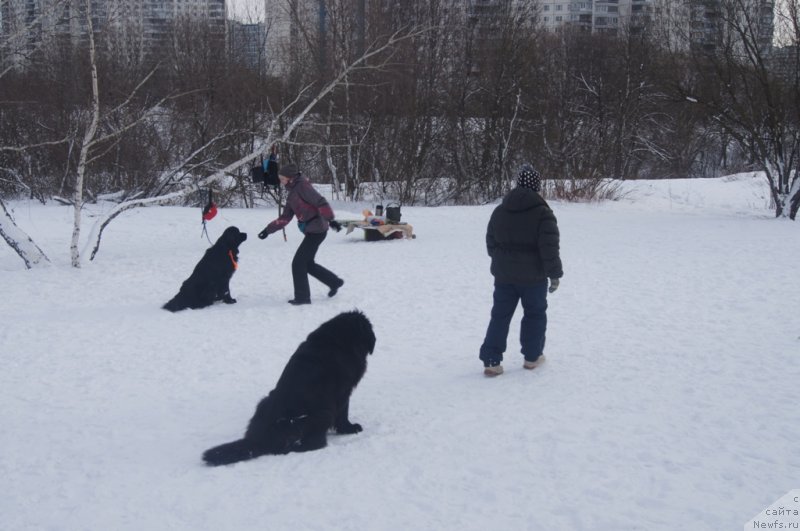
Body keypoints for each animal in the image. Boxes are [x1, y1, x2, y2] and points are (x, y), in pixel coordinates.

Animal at [200, 310, 376, 468]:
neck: (339, 340)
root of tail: (257, 439)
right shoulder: (343, 393)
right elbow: (343, 414)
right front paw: (350, 428)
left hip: (264, 401)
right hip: (322, 413)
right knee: (309, 444)